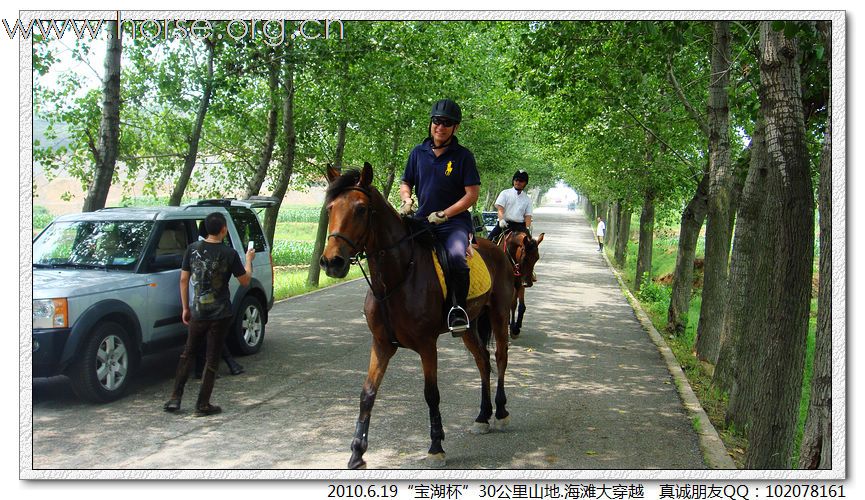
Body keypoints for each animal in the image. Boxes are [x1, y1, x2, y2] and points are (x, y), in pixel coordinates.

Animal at [320, 163, 516, 468]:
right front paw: (356, 453)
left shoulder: (427, 345)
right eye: (330, 208)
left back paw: (501, 412)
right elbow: (367, 394)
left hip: (498, 314)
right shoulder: (381, 344)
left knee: (500, 358)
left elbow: (431, 395)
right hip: (469, 326)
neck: (395, 279)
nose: (332, 262)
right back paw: (482, 417)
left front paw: (436, 446)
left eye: (361, 209)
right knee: (483, 361)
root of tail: (495, 248)